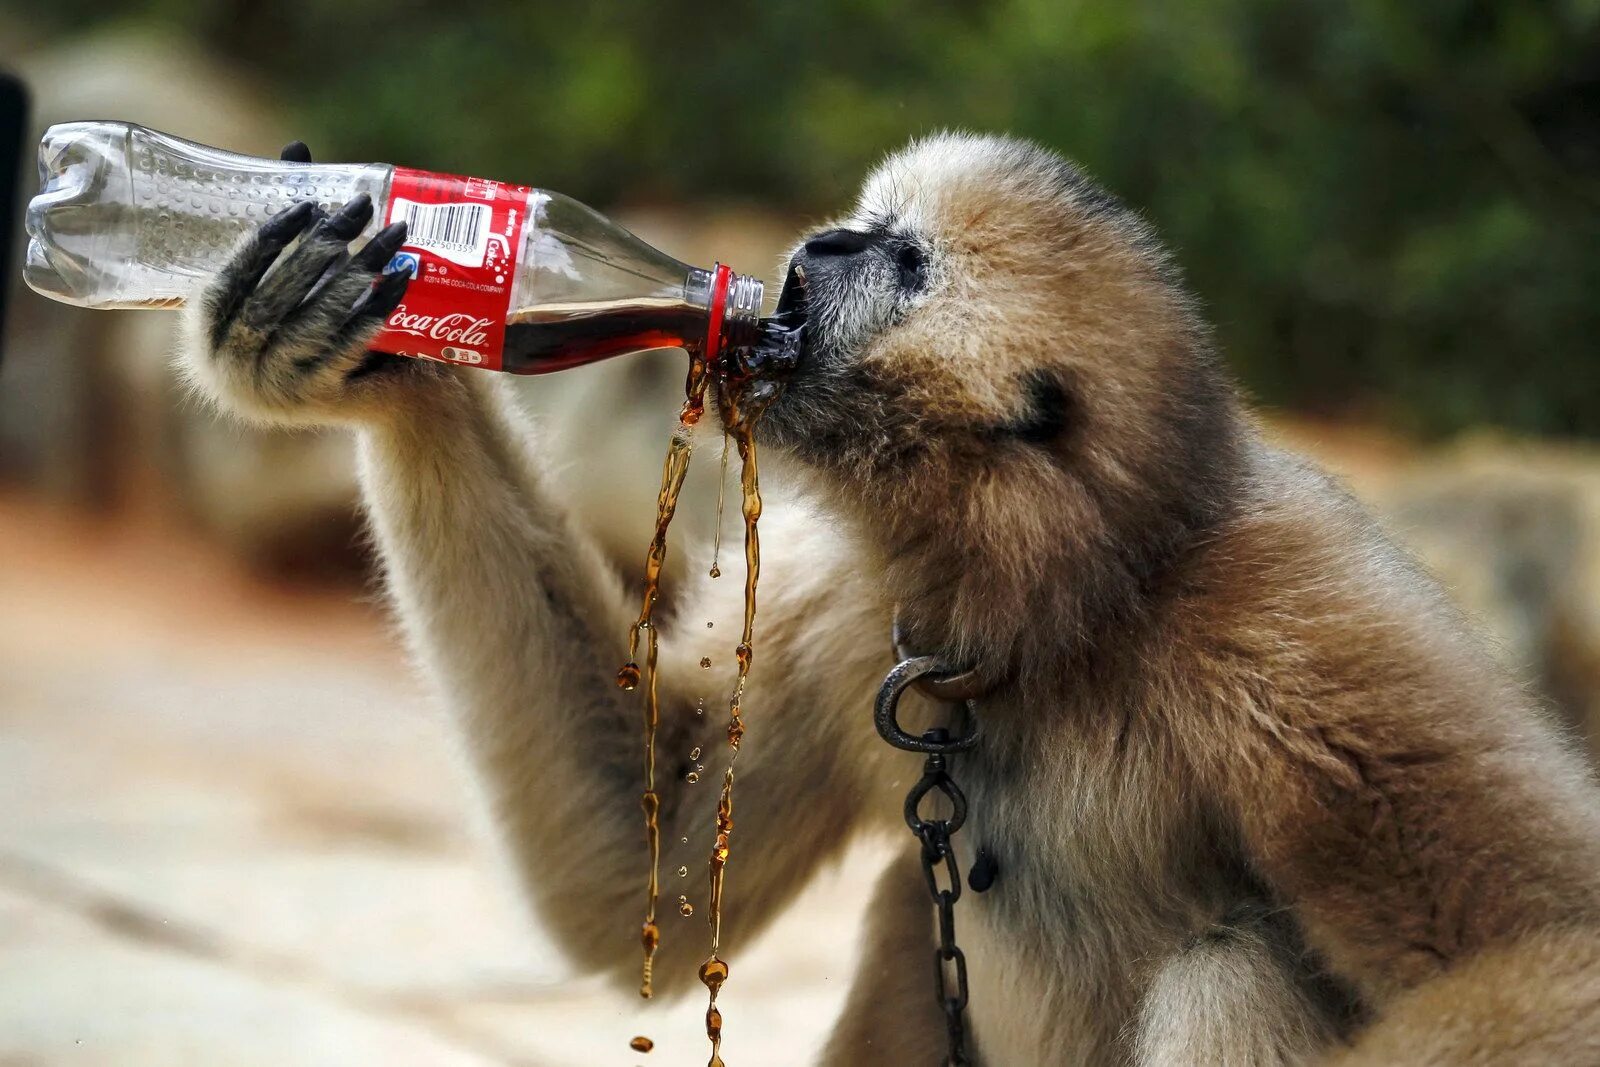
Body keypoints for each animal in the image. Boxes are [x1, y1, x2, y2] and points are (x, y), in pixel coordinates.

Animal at [181, 135, 1600, 1067]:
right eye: (860, 224)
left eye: (901, 261)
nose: (816, 246)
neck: (1067, 611)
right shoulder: (851, 604)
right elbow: (635, 871)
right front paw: (376, 349)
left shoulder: (1293, 634)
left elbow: (1547, 944)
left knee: (1230, 965)